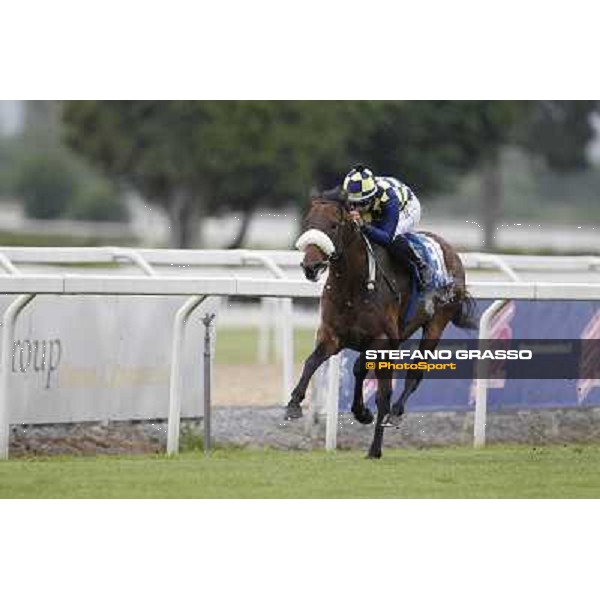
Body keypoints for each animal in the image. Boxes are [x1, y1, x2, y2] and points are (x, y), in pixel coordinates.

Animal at [286, 195, 478, 458]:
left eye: (334, 225)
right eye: (308, 223)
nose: (311, 266)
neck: (353, 287)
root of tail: (450, 250)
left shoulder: (382, 341)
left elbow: (380, 390)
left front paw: (374, 440)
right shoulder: (332, 335)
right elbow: (312, 362)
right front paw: (294, 404)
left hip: (435, 324)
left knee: (412, 375)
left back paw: (392, 418)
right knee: (363, 373)